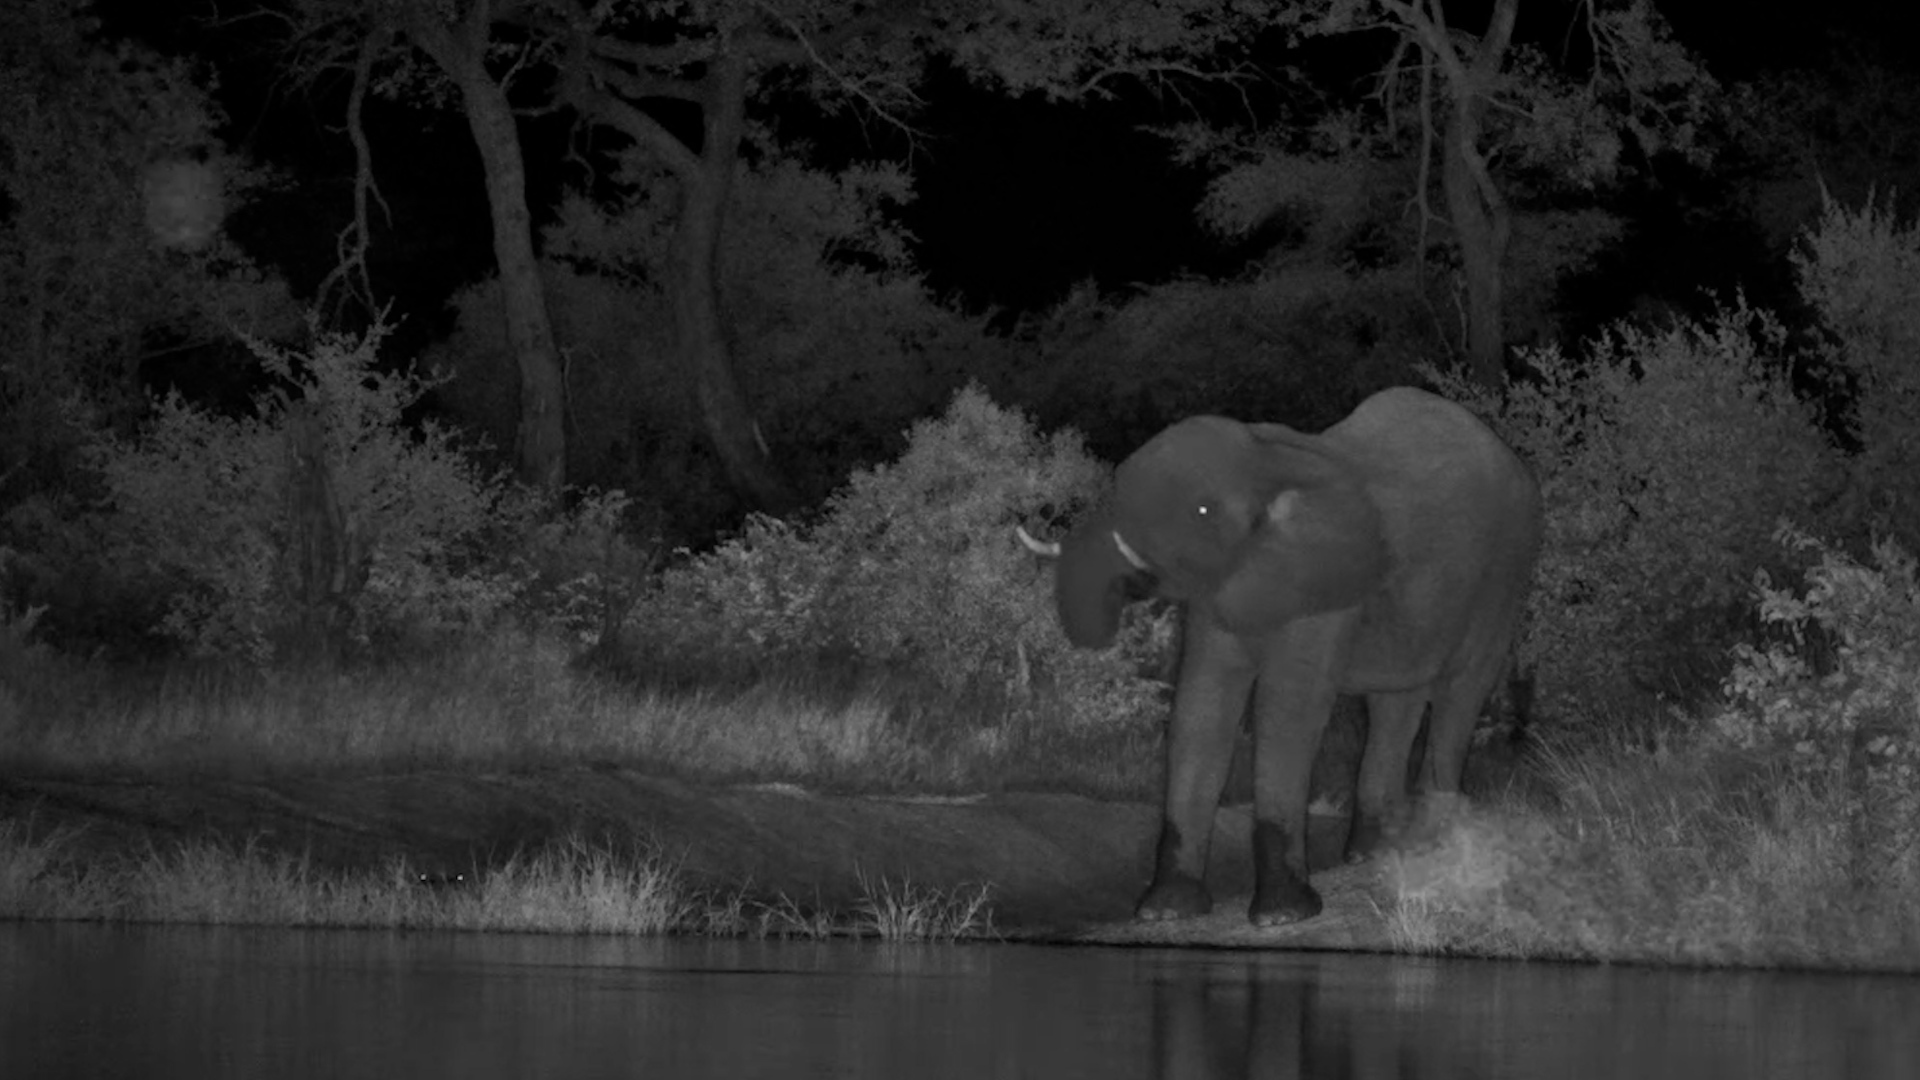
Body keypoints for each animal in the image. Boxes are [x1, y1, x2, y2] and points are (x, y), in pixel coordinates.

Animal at [1020, 387, 1541, 927]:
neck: (1267, 462)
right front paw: (1166, 912)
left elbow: (1288, 708)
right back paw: (1374, 853)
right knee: (1395, 704)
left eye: (1202, 511)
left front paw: (1283, 917)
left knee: (1461, 693)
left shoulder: (1325, 584)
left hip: (1505, 571)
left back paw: (1434, 845)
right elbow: (1201, 705)